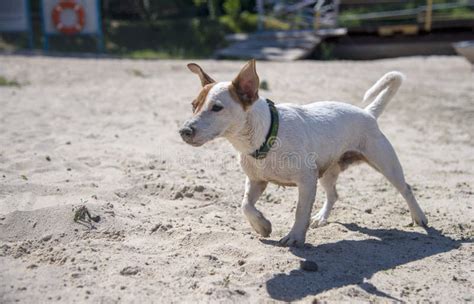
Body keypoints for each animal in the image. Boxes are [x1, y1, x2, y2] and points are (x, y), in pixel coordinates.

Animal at [180, 60, 428, 247]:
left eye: (217, 108)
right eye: (193, 105)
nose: (184, 131)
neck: (266, 136)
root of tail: (368, 113)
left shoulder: (307, 181)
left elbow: (300, 211)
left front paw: (295, 237)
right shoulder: (256, 180)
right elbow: (245, 205)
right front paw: (262, 225)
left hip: (386, 164)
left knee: (406, 189)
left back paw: (420, 217)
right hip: (328, 171)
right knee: (333, 195)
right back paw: (321, 217)